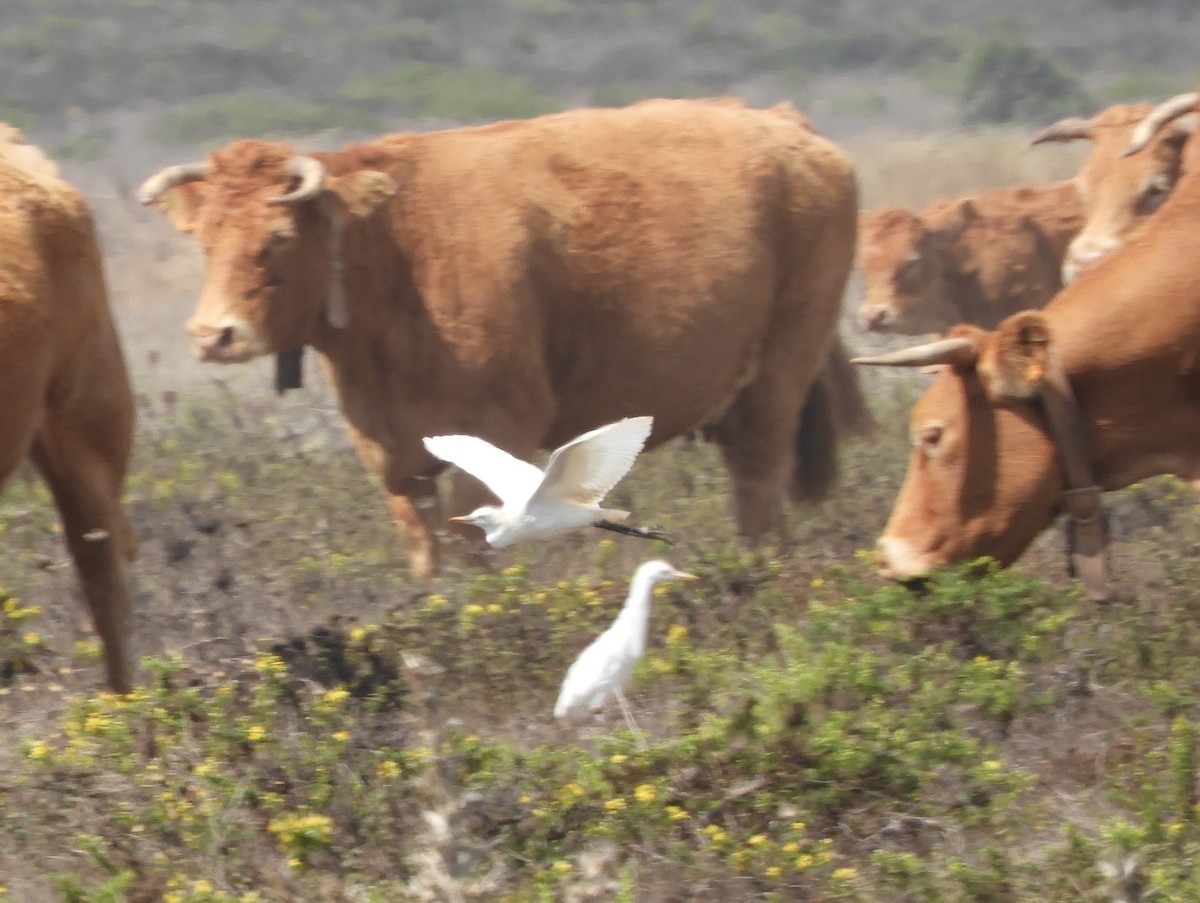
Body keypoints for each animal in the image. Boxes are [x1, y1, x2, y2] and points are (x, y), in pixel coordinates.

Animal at [138, 98, 864, 578]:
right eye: (204, 239)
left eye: (279, 238)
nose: (214, 334)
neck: (400, 249)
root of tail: (785, 124)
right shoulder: (396, 461)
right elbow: (428, 559)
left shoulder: (501, 432)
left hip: (777, 379)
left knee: (758, 482)